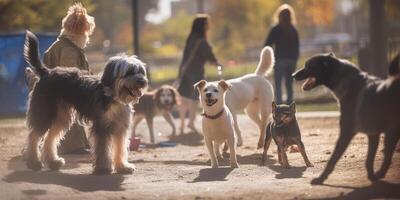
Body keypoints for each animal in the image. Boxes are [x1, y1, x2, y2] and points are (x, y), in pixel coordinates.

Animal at [292, 52, 398, 184]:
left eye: (308, 66)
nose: (292, 75)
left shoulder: (346, 132)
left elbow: (332, 159)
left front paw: (321, 178)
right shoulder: (373, 134)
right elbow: (369, 159)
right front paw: (372, 177)